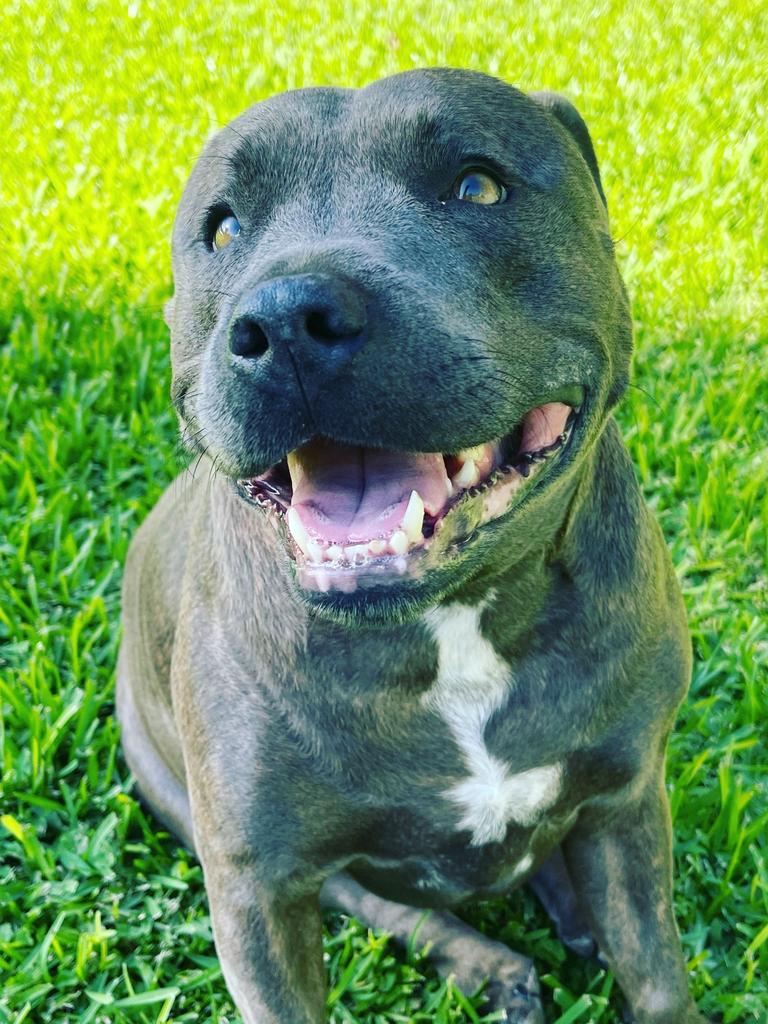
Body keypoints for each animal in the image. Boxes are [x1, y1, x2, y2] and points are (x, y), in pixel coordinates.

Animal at [117, 68, 708, 1019]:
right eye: (224, 226)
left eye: (477, 185)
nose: (287, 317)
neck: (451, 625)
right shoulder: (255, 888)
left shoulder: (629, 797)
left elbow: (656, 975)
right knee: (380, 899)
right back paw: (489, 962)